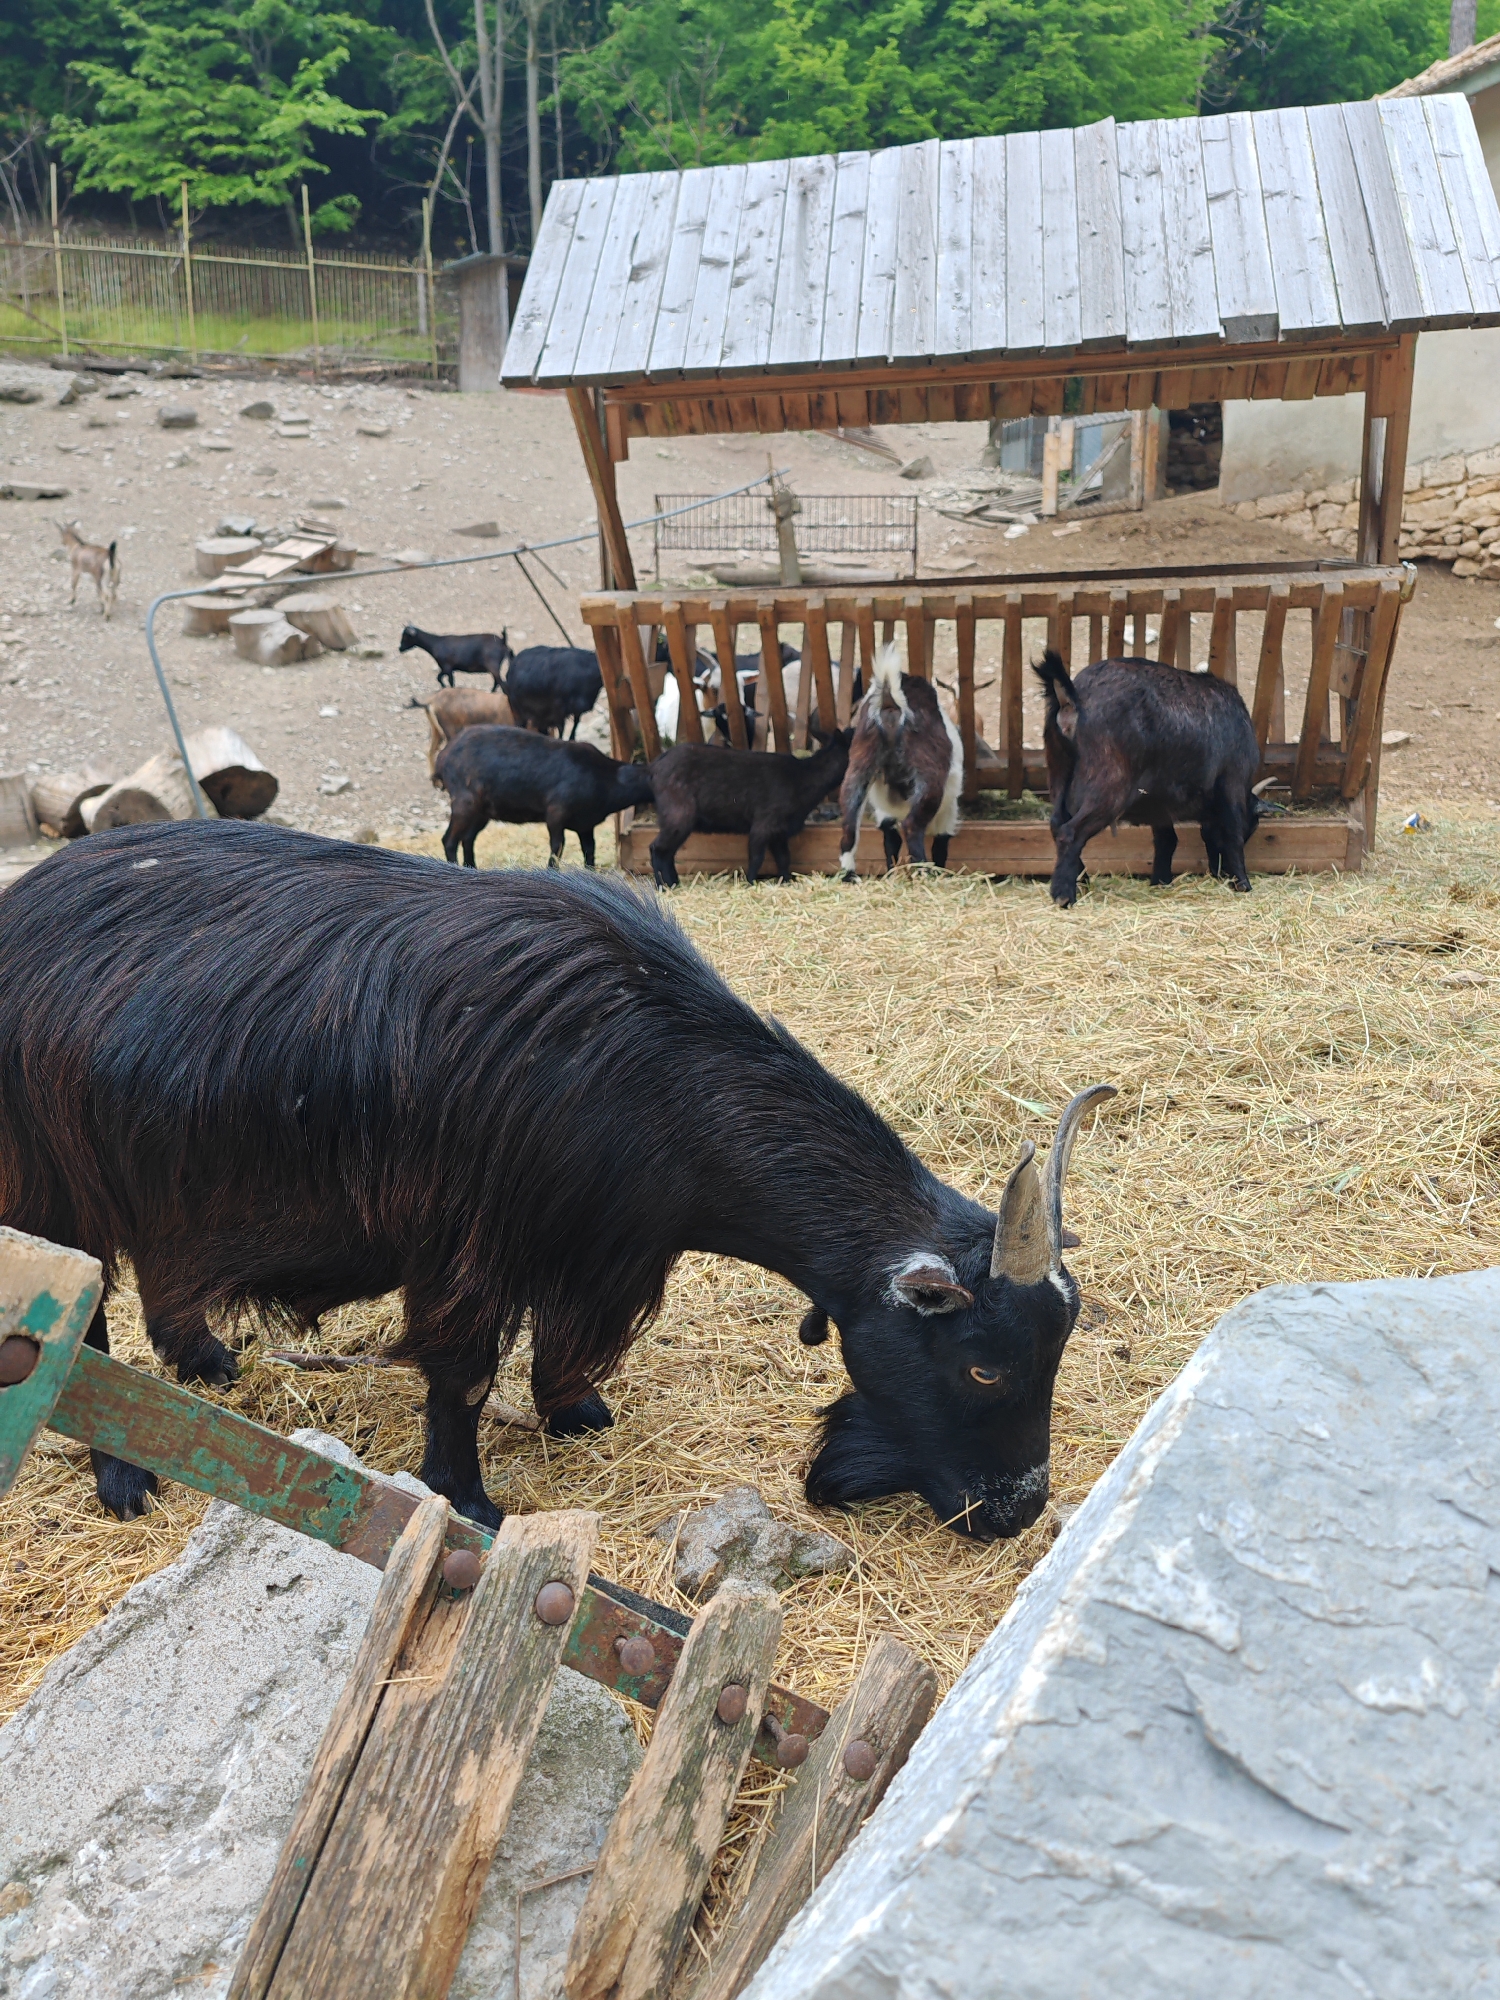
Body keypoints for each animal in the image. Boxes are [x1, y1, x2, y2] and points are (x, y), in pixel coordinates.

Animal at [0, 819, 1112, 1537]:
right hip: (55, 1190)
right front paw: (468, 1498)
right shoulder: (466, 1249)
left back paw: (202, 1361)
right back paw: (124, 1472)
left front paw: (574, 1410)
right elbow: (461, 1373)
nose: (1016, 1512)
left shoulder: (600, 1249)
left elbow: (567, 1342)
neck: (649, 1063)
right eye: (984, 1366)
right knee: (81, 1326)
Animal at [435, 724, 652, 867]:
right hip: (465, 802)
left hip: (482, 811)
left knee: (467, 839)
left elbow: (589, 849)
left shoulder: (585, 824)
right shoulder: (556, 813)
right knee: (449, 841)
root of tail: (444, 756)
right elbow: (557, 847)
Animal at [648, 731, 853, 887]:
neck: (804, 778)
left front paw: (786, 880)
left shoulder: (779, 831)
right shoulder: (763, 824)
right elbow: (756, 857)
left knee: (667, 853)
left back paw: (673, 883)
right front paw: (751, 882)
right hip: (678, 815)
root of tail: (656, 765)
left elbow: (784, 858)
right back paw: (662, 886)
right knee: (657, 849)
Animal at [838, 643, 962, 875]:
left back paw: (849, 875)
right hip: (930, 778)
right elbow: (941, 846)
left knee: (849, 829)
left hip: (858, 768)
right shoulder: (948, 811)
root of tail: (891, 704)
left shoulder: (884, 812)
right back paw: (924, 872)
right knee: (911, 827)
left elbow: (890, 841)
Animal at [1033, 652, 1261, 908]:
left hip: (1059, 770)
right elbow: (1232, 835)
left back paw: (1082, 881)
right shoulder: (1233, 782)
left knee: (1056, 824)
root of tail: (1073, 699)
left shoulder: (1159, 803)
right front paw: (1243, 883)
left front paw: (1160, 881)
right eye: (1252, 826)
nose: (1218, 872)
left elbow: (1167, 840)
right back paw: (1064, 894)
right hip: (1110, 785)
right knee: (1069, 832)